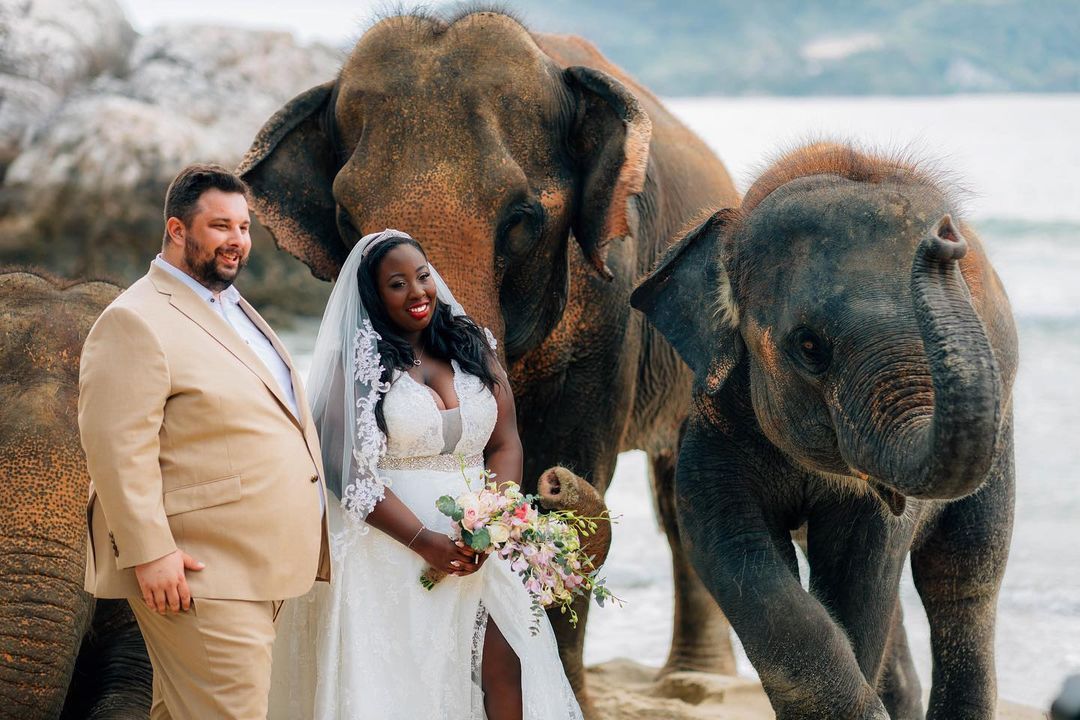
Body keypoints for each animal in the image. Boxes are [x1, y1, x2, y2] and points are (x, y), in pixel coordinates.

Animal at [236, 7, 743, 708]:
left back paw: (694, 684)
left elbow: (581, 450)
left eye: (521, 218)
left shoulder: (611, 302)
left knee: (681, 495)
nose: (553, 484)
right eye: (343, 218)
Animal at [630, 142, 1015, 720]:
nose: (945, 240)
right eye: (810, 347)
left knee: (963, 574)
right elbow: (730, 548)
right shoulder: (713, 422)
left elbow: (862, 572)